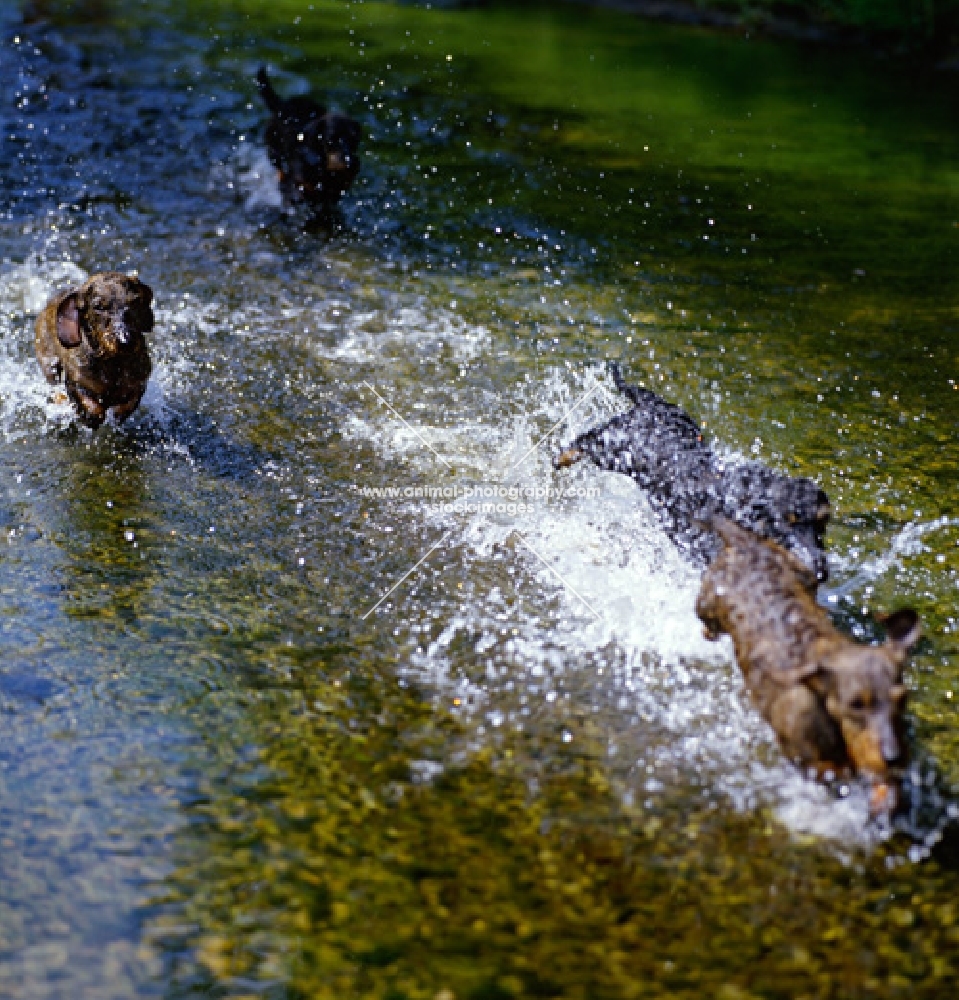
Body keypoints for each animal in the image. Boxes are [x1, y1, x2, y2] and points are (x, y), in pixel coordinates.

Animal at [34, 272, 154, 428]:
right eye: (98, 306)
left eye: (136, 300)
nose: (126, 340)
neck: (113, 365)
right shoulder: (76, 381)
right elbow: (90, 405)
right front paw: (91, 417)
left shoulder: (139, 381)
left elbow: (129, 401)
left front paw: (119, 413)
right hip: (49, 363)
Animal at [556, 366, 832, 584]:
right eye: (788, 522)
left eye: (822, 524)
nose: (821, 571)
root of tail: (651, 405)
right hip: (610, 449)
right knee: (584, 439)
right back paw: (561, 458)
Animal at [696, 516, 924, 812]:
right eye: (855, 704)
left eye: (903, 698)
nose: (894, 757)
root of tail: (743, 541)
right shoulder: (803, 756)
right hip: (706, 605)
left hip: (803, 573)